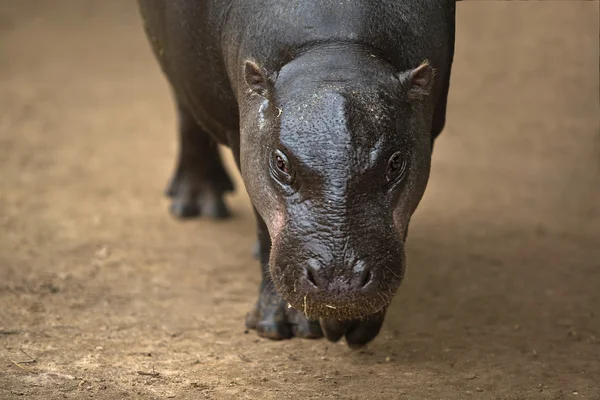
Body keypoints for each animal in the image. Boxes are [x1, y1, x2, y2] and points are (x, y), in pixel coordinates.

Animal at [136, 0, 458, 348]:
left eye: (396, 162)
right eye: (280, 163)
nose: (340, 283)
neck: (334, 53)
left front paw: (354, 324)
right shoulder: (240, 132)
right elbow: (263, 224)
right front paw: (280, 326)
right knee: (185, 108)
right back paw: (197, 206)